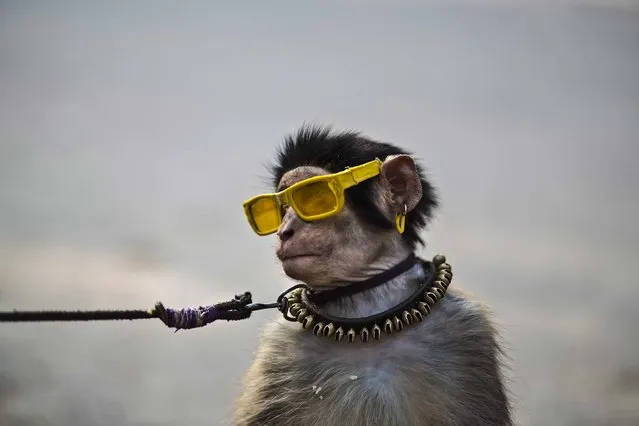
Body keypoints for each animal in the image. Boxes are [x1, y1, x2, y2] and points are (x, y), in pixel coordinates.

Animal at [232, 125, 512, 424]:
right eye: (281, 209)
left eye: (313, 196)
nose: (284, 232)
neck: (366, 306)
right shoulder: (279, 353)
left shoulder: (467, 334)